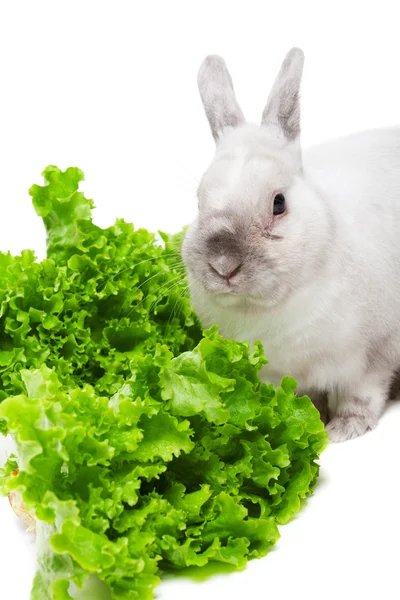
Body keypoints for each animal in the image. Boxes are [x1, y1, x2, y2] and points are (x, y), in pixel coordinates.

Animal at [182, 47, 400, 440]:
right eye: (198, 201)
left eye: (279, 203)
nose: (223, 264)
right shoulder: (282, 377)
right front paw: (308, 421)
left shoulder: (373, 359)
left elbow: (361, 397)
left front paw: (343, 431)